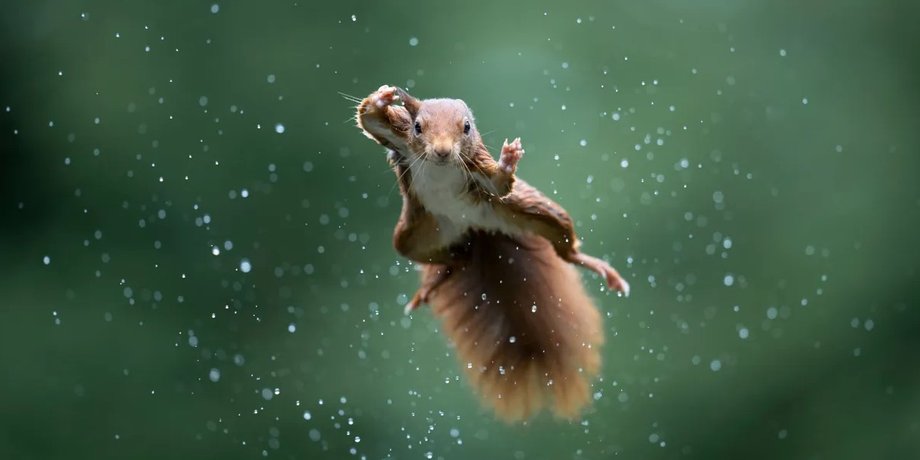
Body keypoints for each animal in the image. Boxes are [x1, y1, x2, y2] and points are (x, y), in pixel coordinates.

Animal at [355, 85, 630, 421]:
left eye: (466, 127)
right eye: (418, 127)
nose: (443, 151)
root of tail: (475, 230)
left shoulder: (477, 168)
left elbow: (499, 183)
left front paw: (509, 160)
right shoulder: (400, 138)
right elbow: (369, 119)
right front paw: (382, 98)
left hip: (532, 211)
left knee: (564, 247)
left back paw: (602, 269)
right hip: (413, 235)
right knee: (453, 258)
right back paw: (432, 284)